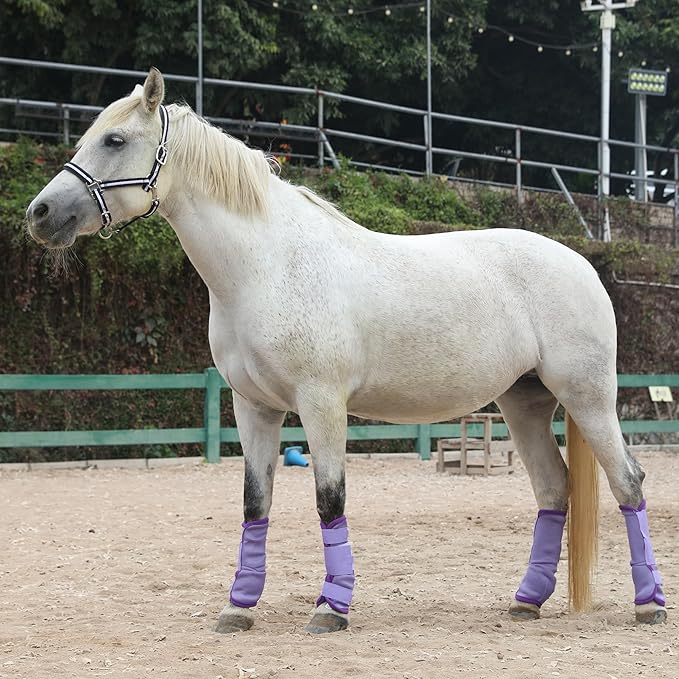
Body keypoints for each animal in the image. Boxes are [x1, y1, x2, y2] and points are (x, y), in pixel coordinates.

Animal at [26, 68, 667, 634]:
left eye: (115, 140)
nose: (41, 213)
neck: (267, 266)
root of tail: (581, 263)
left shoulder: (321, 405)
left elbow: (328, 500)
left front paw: (331, 609)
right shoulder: (253, 409)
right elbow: (255, 504)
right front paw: (238, 608)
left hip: (587, 397)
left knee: (629, 481)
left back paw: (649, 605)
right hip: (524, 403)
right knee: (554, 489)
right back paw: (526, 601)